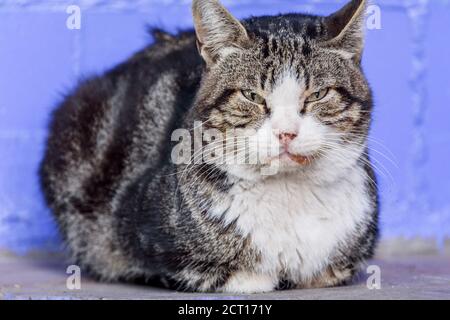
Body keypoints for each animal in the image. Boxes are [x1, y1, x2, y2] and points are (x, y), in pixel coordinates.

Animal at [41, 0, 380, 294]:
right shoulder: (150, 242)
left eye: (319, 94)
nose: (286, 133)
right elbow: (229, 274)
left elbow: (330, 271)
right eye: (251, 96)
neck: (289, 193)